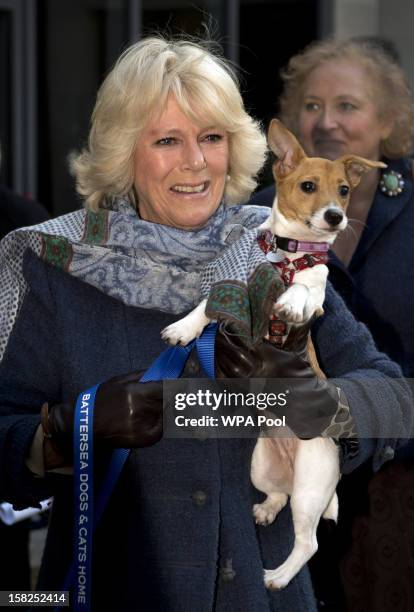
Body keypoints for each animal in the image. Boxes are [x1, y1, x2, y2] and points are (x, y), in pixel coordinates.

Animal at [162, 118, 384, 588]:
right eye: (308, 186)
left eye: (344, 190)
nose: (336, 217)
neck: (288, 255)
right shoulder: (235, 286)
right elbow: (206, 306)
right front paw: (183, 328)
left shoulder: (317, 291)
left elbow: (306, 289)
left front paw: (292, 302)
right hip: (263, 468)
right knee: (277, 495)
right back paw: (265, 509)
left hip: (311, 490)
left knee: (308, 542)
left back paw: (279, 577)